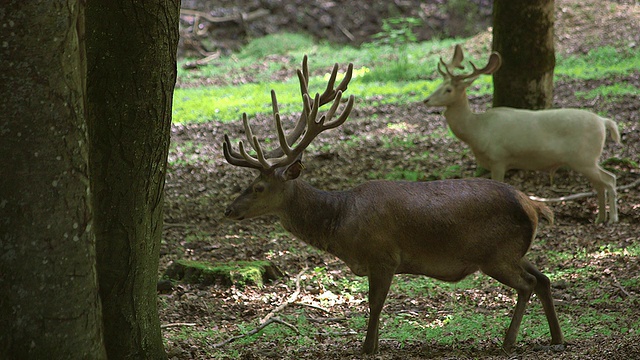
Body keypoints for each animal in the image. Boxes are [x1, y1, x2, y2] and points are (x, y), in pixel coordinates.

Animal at [222, 56, 564, 354]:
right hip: (513, 250)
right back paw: (556, 338)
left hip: (495, 253)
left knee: (528, 283)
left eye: (258, 187)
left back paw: (509, 341)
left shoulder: (383, 255)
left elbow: (375, 304)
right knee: (544, 278)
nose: (229, 209)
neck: (340, 222)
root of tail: (534, 206)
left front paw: (367, 348)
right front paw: (370, 345)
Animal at [424, 44, 620, 225]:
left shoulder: (499, 158)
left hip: (585, 157)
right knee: (599, 184)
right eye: (439, 84)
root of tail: (603, 121)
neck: (477, 130)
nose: (426, 100)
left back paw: (613, 218)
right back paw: (600, 218)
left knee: (610, 179)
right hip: (586, 160)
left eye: (448, 89)